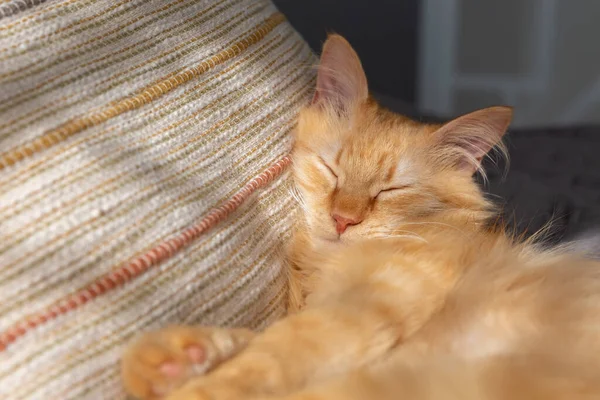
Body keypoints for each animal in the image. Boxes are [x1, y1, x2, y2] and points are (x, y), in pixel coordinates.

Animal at [120, 34, 600, 400]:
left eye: (390, 190)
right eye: (332, 170)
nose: (342, 220)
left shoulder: (368, 308)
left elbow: (271, 355)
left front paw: (196, 382)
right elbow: (252, 342)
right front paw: (174, 360)